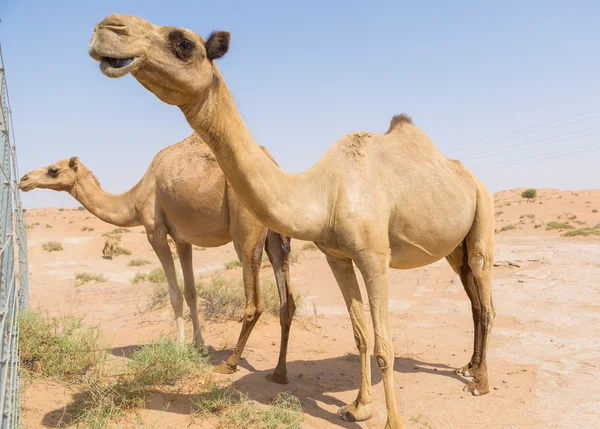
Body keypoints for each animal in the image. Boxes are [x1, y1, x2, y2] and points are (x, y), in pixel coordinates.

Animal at [17, 134, 298, 382]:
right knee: (286, 299)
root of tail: (272, 164)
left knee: (254, 303)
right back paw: (279, 373)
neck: (133, 199)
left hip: (246, 230)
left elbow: (174, 293)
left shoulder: (155, 231)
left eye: (53, 170)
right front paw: (199, 346)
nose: (23, 179)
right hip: (276, 232)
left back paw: (229, 364)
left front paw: (180, 347)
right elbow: (191, 291)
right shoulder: (183, 239)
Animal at [88, 15, 496, 426]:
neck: (324, 192)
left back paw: (480, 382)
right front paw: (359, 407)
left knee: (484, 297)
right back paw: (468, 367)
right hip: (454, 248)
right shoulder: (337, 255)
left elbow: (384, 346)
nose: (108, 26)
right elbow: (360, 334)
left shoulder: (373, 256)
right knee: (471, 294)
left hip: (483, 211)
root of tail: (473, 179)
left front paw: (391, 421)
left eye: (184, 43)